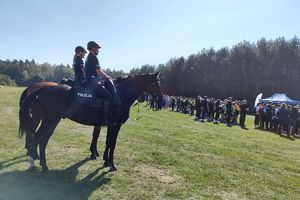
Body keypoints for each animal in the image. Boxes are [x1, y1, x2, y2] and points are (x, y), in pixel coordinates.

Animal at [19, 72, 163, 172]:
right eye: (156, 83)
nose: (161, 99)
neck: (120, 95)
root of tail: (41, 89)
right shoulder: (115, 126)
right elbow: (112, 143)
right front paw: (110, 164)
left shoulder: (108, 125)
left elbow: (105, 141)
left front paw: (104, 159)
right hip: (50, 122)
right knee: (40, 140)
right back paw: (40, 163)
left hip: (45, 120)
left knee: (36, 138)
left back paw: (35, 160)